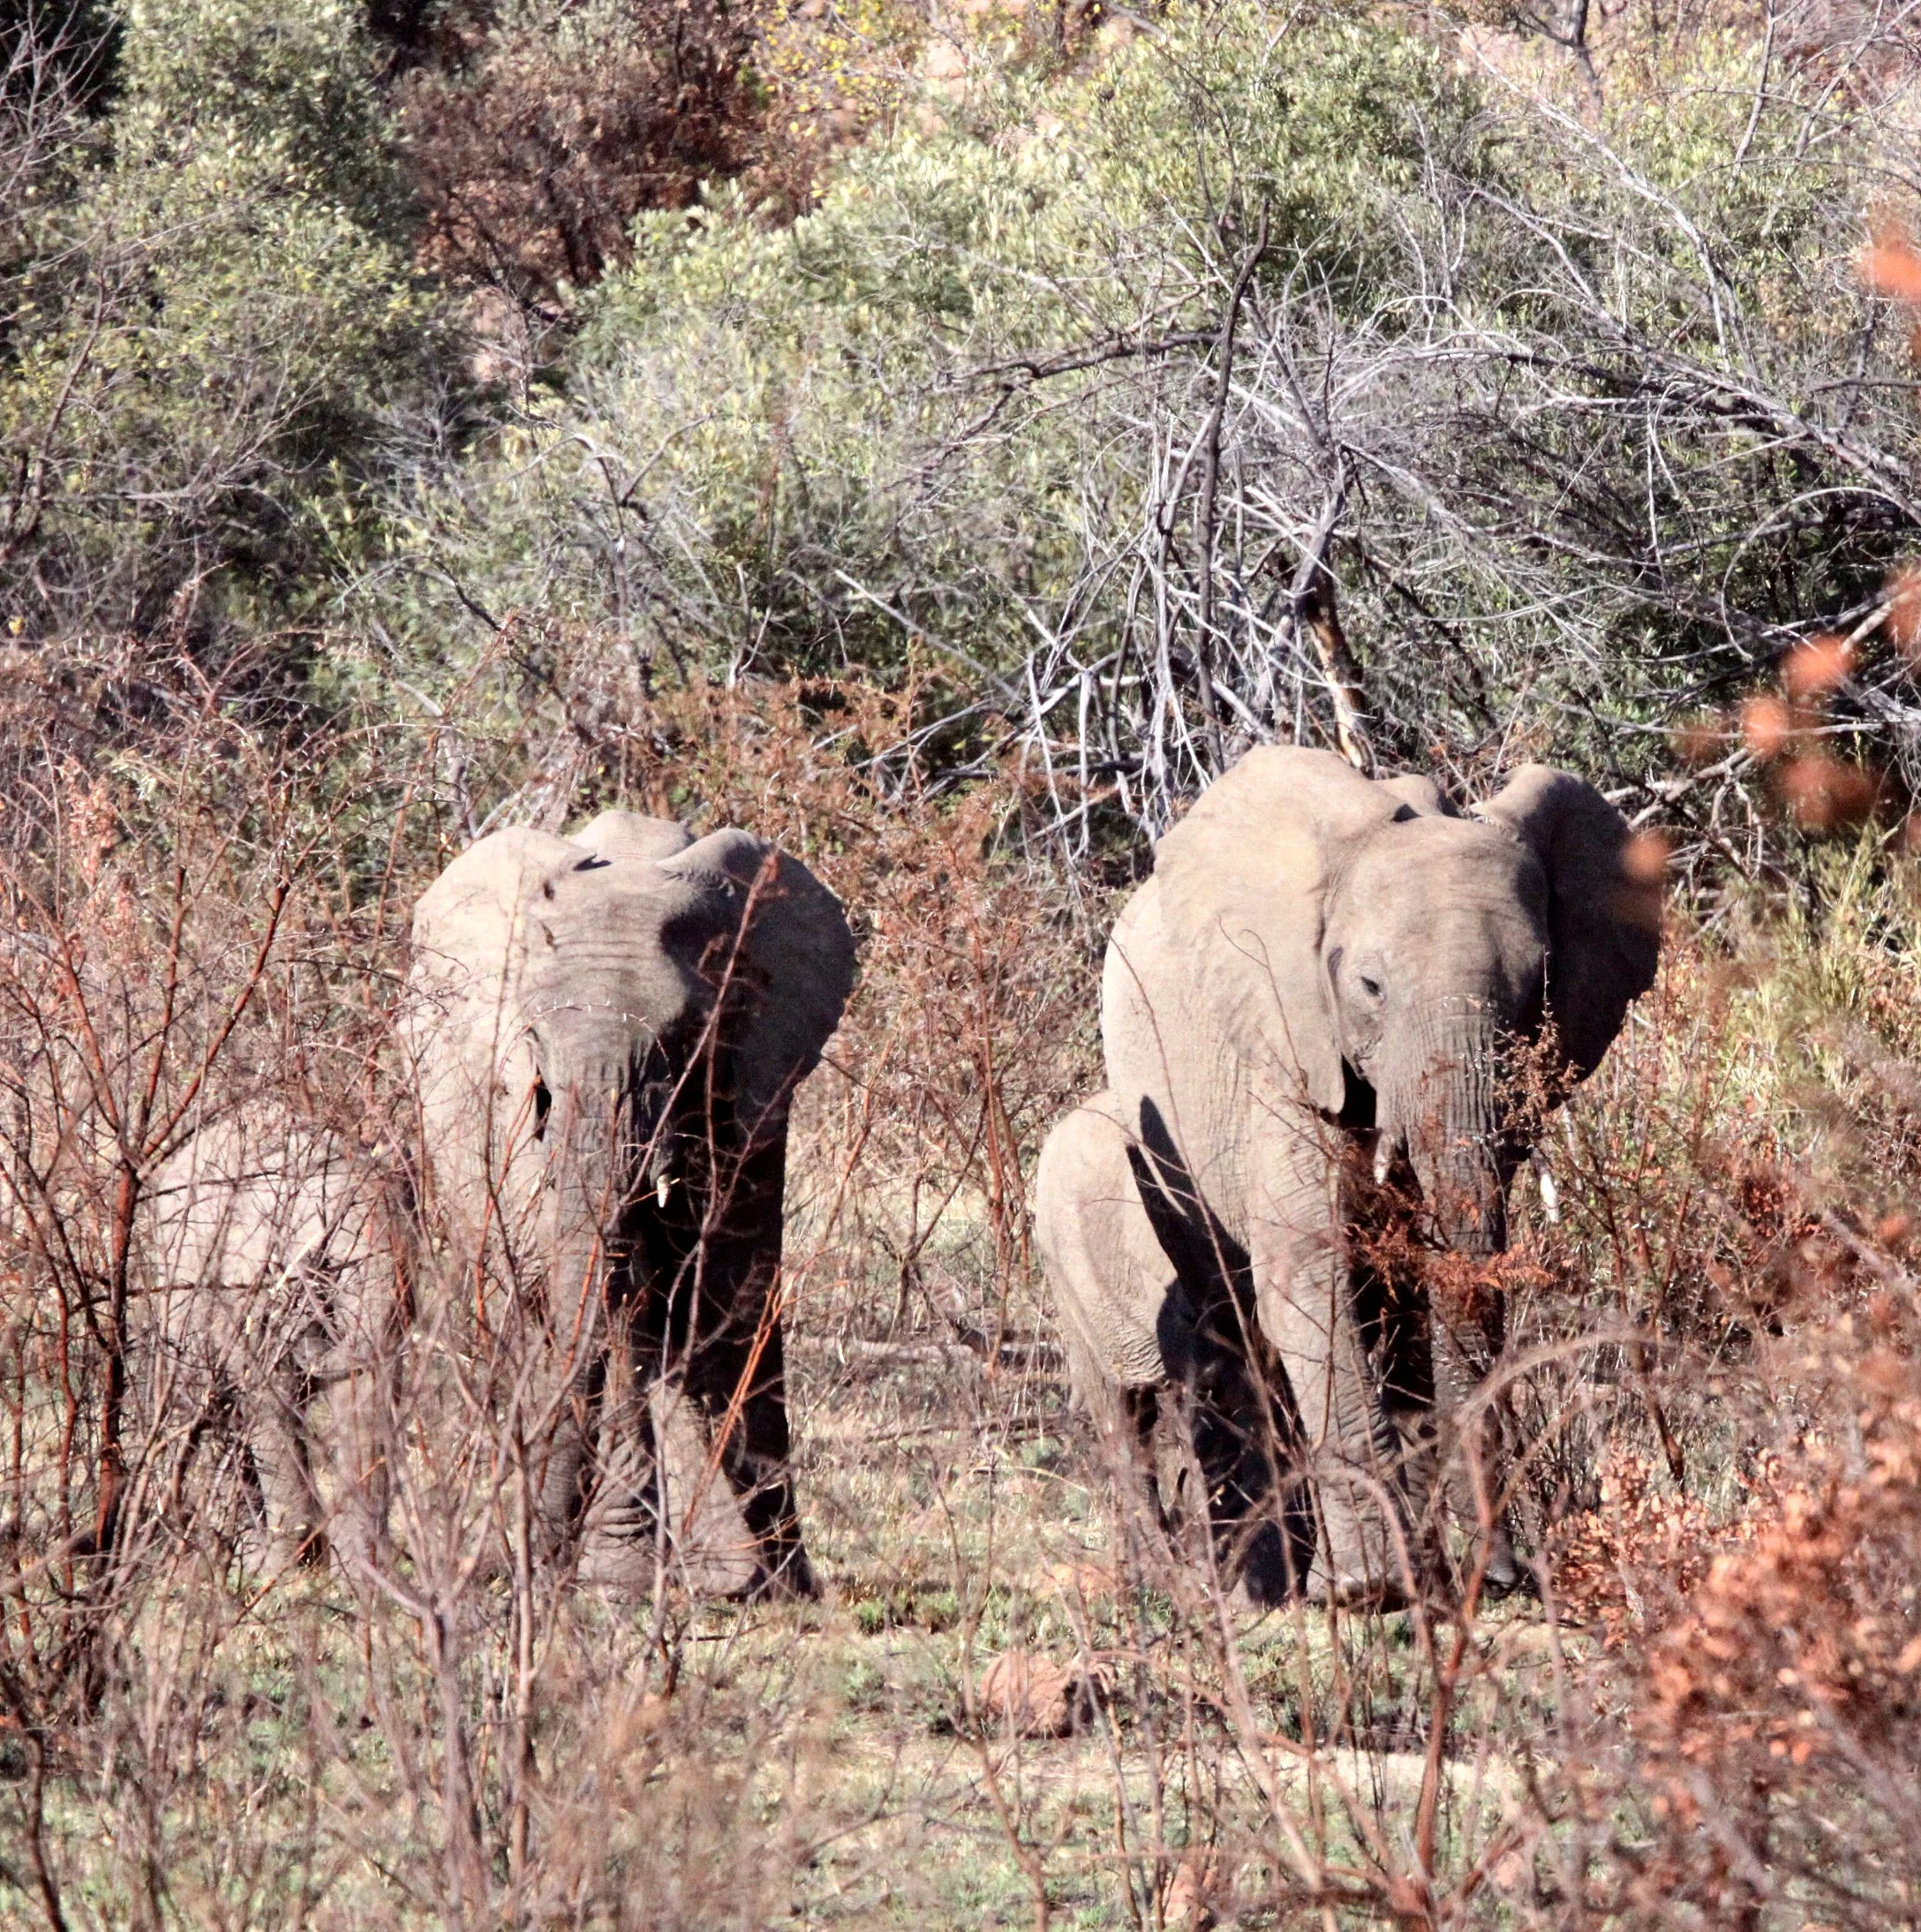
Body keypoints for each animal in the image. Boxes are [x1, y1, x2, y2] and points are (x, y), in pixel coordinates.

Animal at [401, 809, 856, 1600]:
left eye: (685, 1038)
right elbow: (611, 1300)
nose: (539, 1566)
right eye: (533, 1036)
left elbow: (727, 1286)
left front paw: (766, 1586)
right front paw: (620, 1579)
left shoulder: (757, 1072)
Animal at [1038, 747, 1660, 1609]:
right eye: (1370, 987)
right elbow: (1307, 1275)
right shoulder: (1283, 1040)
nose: (1504, 1576)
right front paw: (1373, 1589)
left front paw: (1442, 1580)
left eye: (1539, 983)